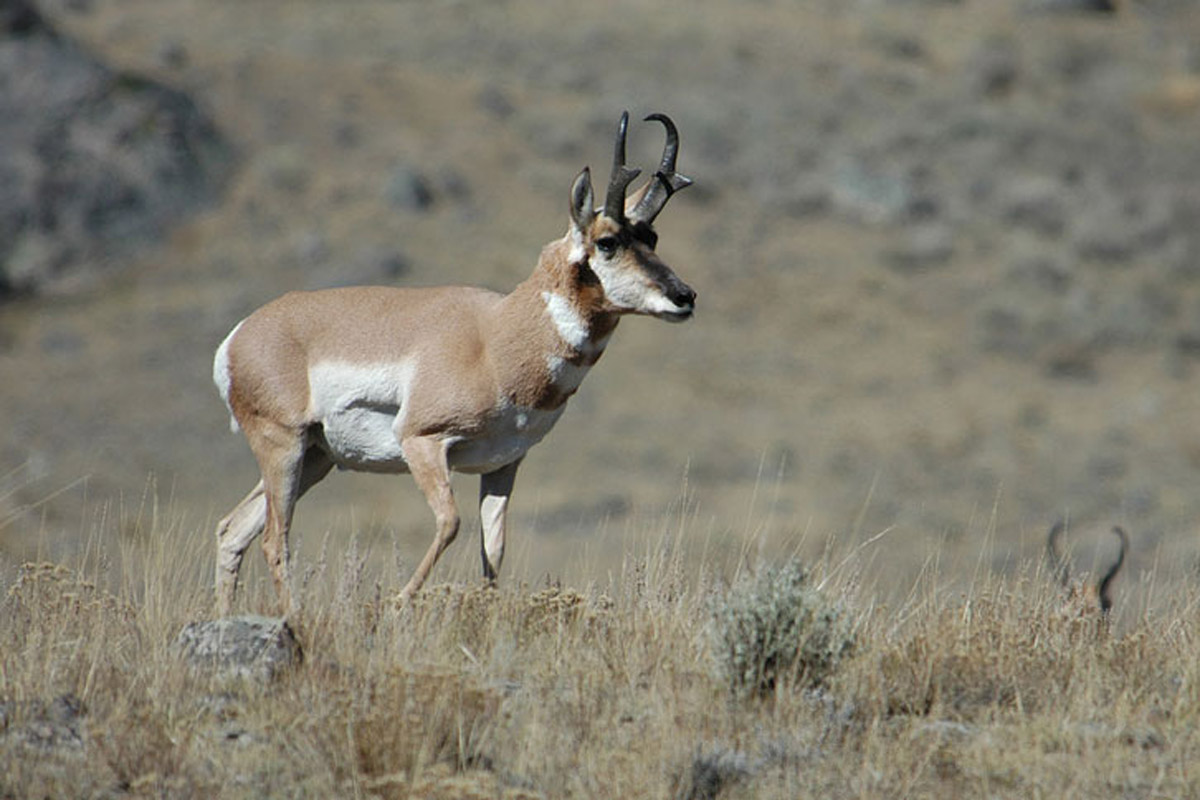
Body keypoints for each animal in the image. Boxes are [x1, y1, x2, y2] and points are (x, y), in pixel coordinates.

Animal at [207, 109, 696, 618]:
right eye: (607, 242)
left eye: (652, 236)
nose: (685, 297)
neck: (494, 337)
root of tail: (241, 335)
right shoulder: (423, 441)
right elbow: (450, 523)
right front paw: (400, 601)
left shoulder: (504, 464)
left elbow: (494, 549)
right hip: (282, 446)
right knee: (273, 538)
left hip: (315, 457)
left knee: (233, 529)